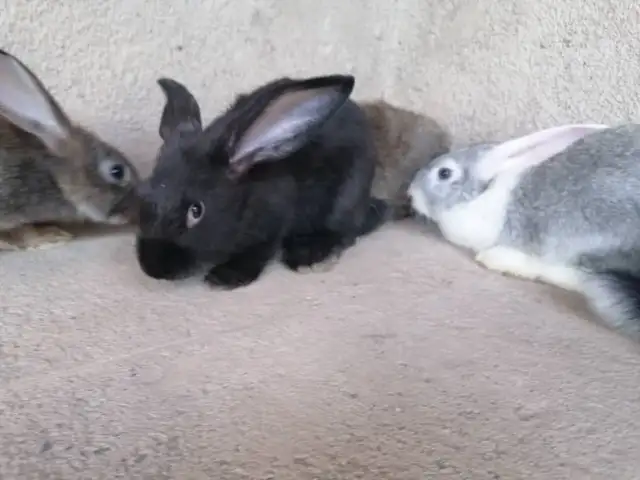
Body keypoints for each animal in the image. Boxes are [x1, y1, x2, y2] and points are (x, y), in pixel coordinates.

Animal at [135, 74, 387, 289]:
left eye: (196, 211)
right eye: (143, 194)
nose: (152, 268)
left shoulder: (274, 221)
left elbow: (257, 252)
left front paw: (225, 277)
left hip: (347, 195)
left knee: (345, 231)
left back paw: (308, 256)